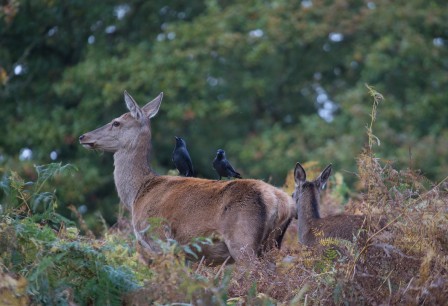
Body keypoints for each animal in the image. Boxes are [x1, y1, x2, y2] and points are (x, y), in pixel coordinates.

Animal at [79, 91, 298, 266]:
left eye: (116, 122)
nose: (83, 136)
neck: (138, 193)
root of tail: (281, 201)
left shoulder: (160, 240)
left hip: (243, 241)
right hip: (272, 243)